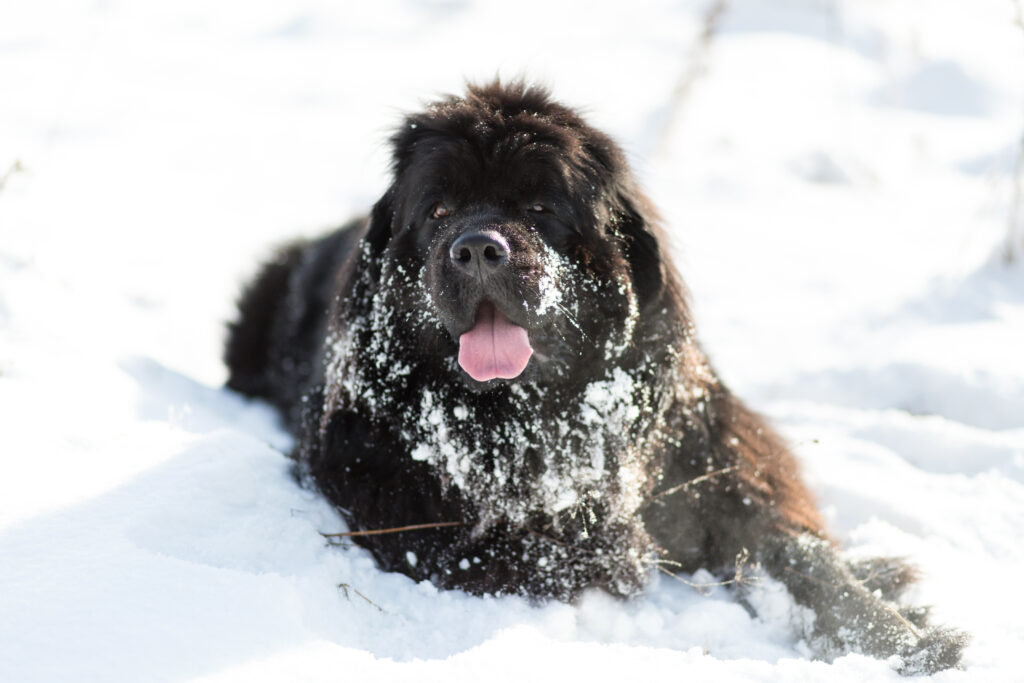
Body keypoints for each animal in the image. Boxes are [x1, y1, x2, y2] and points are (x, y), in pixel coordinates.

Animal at [226, 80, 966, 671]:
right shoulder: (404, 505)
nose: (477, 247)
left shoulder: (718, 464)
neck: (533, 418)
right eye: (437, 212)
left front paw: (905, 639)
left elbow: (798, 558)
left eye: (541, 210)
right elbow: (566, 553)